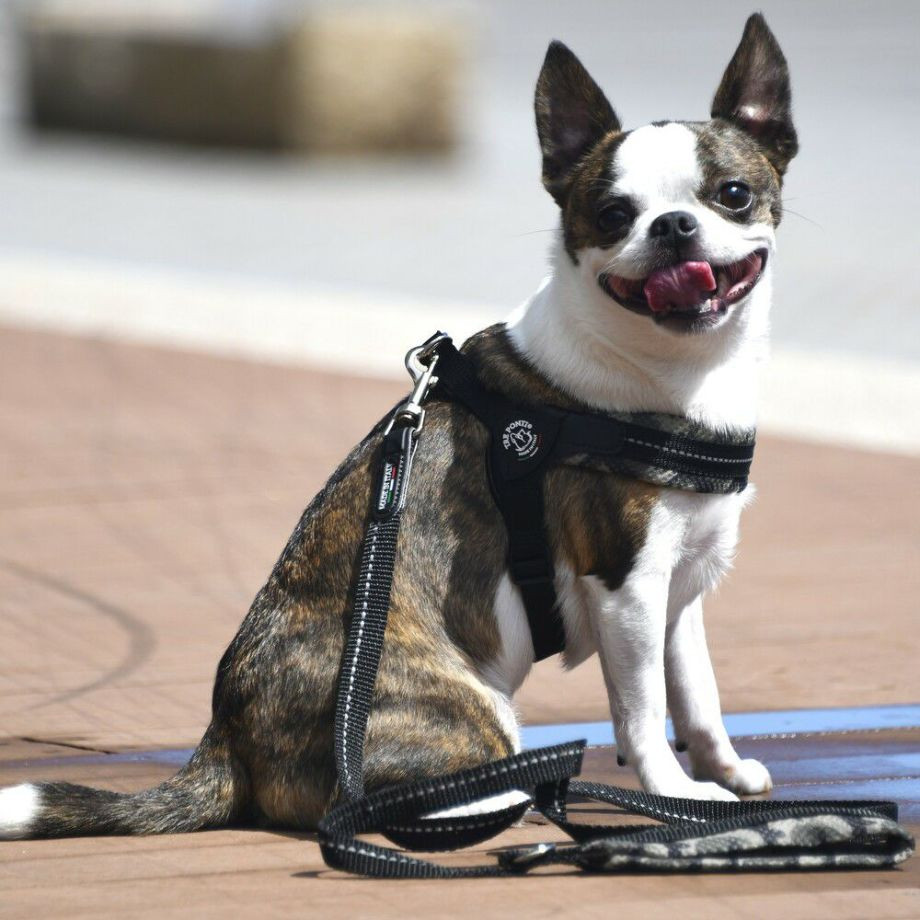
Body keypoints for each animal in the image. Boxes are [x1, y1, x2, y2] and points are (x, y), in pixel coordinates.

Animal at [0, 12, 796, 840]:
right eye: (613, 216)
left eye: (733, 195)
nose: (673, 226)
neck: (663, 368)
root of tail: (228, 743)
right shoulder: (625, 586)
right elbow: (641, 710)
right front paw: (676, 792)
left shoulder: (677, 593)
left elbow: (695, 689)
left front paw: (723, 769)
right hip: (474, 708)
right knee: (388, 797)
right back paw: (510, 794)